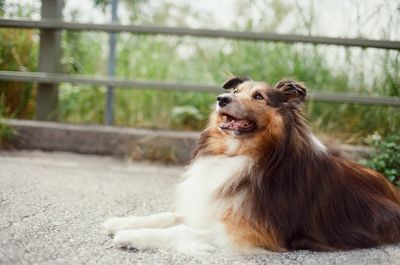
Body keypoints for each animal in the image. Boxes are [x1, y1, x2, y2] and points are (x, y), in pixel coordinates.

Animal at [103, 77, 400, 255]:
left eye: (259, 97)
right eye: (235, 91)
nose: (221, 98)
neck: (243, 155)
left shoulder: (252, 231)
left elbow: (184, 229)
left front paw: (133, 236)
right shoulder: (215, 205)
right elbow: (170, 216)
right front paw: (122, 222)